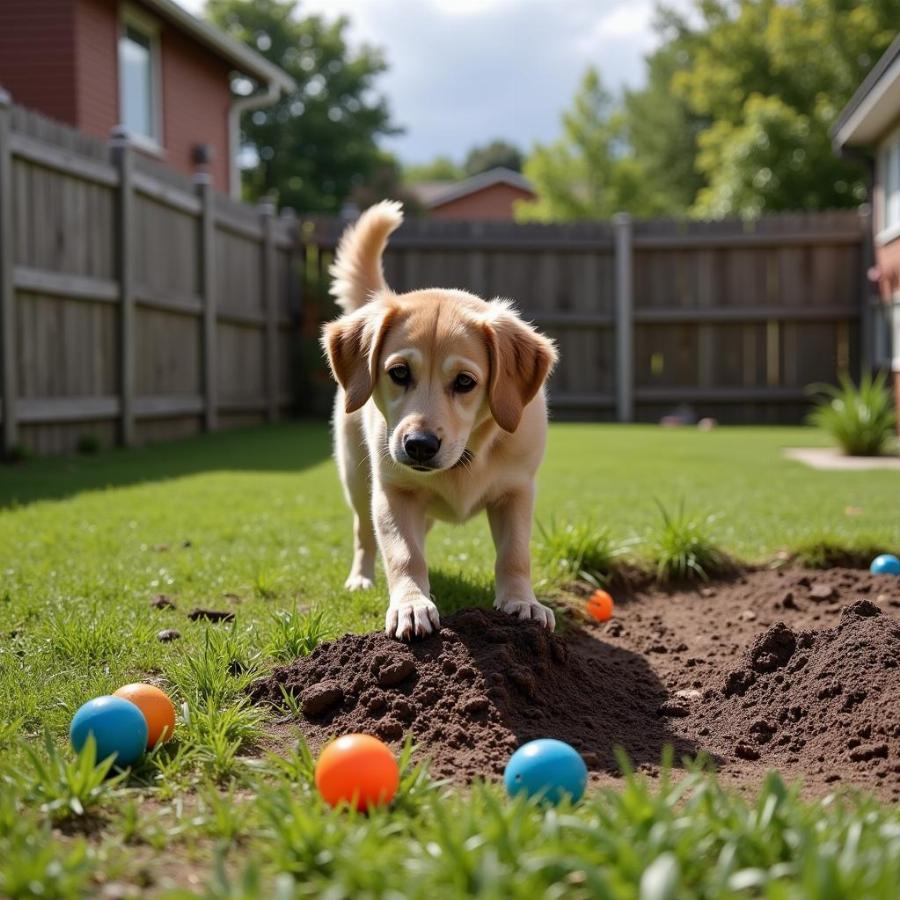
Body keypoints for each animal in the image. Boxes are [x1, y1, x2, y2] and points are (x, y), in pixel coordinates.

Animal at [320, 201, 560, 644]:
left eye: (465, 382)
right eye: (398, 373)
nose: (419, 444)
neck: (469, 453)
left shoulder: (517, 491)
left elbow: (515, 554)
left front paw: (522, 602)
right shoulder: (393, 493)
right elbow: (404, 554)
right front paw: (411, 604)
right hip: (356, 479)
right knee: (364, 534)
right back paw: (361, 578)